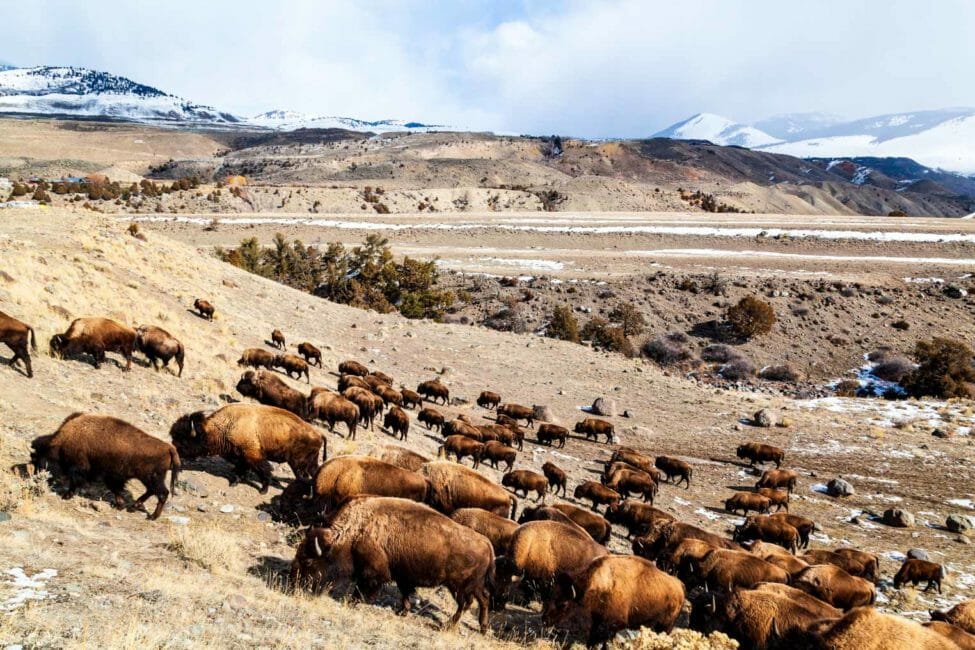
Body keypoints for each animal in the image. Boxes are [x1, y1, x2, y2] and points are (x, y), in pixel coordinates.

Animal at [31, 412, 180, 520]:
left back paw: (152, 517)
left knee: (162, 493)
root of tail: (169, 448)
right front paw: (119, 505)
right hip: (150, 479)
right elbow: (116, 489)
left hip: (152, 478)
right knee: (152, 491)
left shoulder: (81, 468)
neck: (63, 441)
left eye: (41, 458)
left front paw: (66, 495)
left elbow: (76, 482)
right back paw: (134, 507)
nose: (36, 476)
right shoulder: (112, 476)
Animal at [168, 400, 320, 492]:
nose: (174, 449)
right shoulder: (241, 457)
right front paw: (235, 482)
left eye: (184, 439)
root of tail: (318, 435)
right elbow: (240, 470)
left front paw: (263, 489)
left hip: (298, 463)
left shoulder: (252, 455)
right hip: (309, 463)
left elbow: (264, 470)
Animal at [552, 556, 684, 644]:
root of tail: (680, 586)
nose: (547, 621)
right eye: (550, 595)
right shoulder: (598, 620)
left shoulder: (614, 625)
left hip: (665, 627)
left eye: (563, 604)